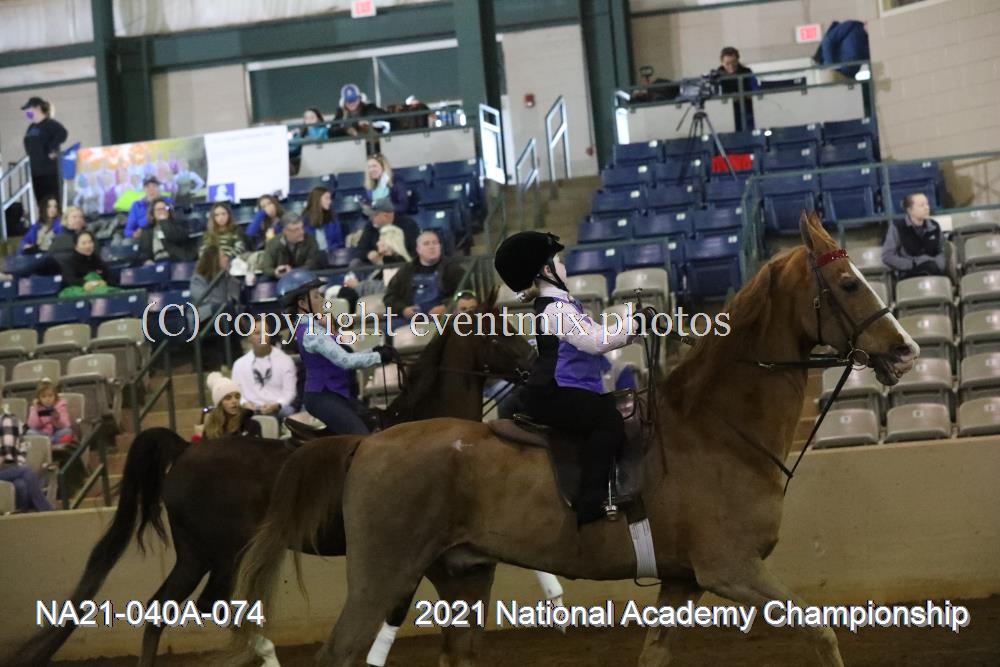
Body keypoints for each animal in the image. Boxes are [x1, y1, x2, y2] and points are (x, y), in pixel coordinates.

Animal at [5, 304, 536, 667]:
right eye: (501, 331)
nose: (533, 362)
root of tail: (186, 449)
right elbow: (394, 607)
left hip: (196, 554)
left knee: (163, 610)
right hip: (222, 553)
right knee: (208, 606)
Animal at [232, 212, 920, 666]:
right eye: (850, 284)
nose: (907, 351)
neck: (718, 430)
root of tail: (368, 445)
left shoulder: (683, 582)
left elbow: (654, 657)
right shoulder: (731, 569)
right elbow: (820, 632)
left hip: (460, 576)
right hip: (382, 575)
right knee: (340, 652)